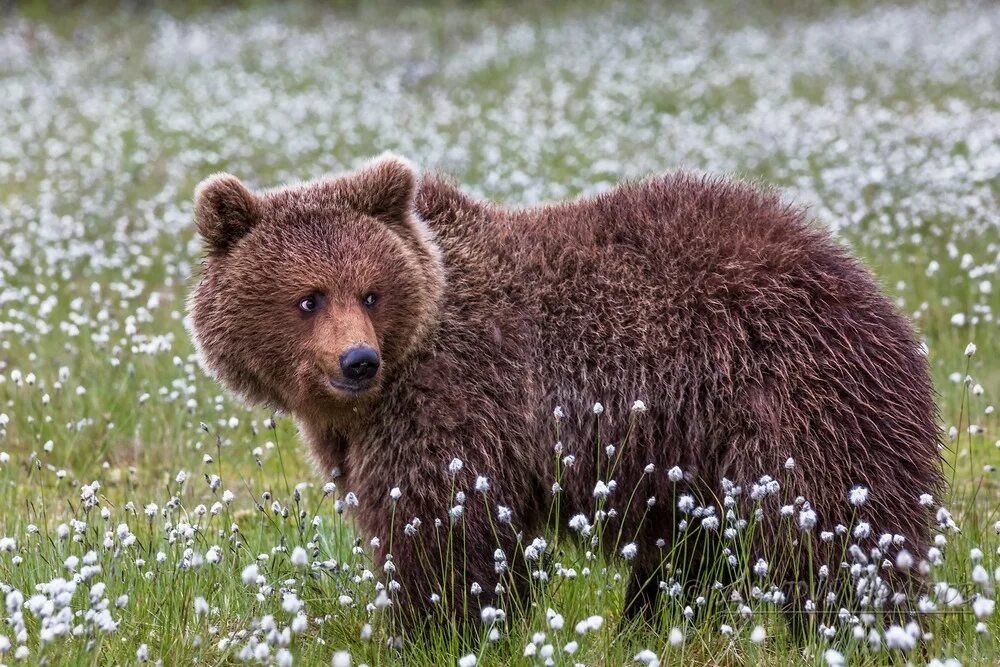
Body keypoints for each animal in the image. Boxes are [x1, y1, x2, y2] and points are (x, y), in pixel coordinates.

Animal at [189, 155, 944, 632]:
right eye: (308, 298)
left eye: (371, 292)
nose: (358, 361)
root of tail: (863, 282)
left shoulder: (455, 399)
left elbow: (439, 528)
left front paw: (434, 626)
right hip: (697, 450)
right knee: (691, 551)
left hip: (792, 398)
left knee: (833, 527)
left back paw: (860, 620)